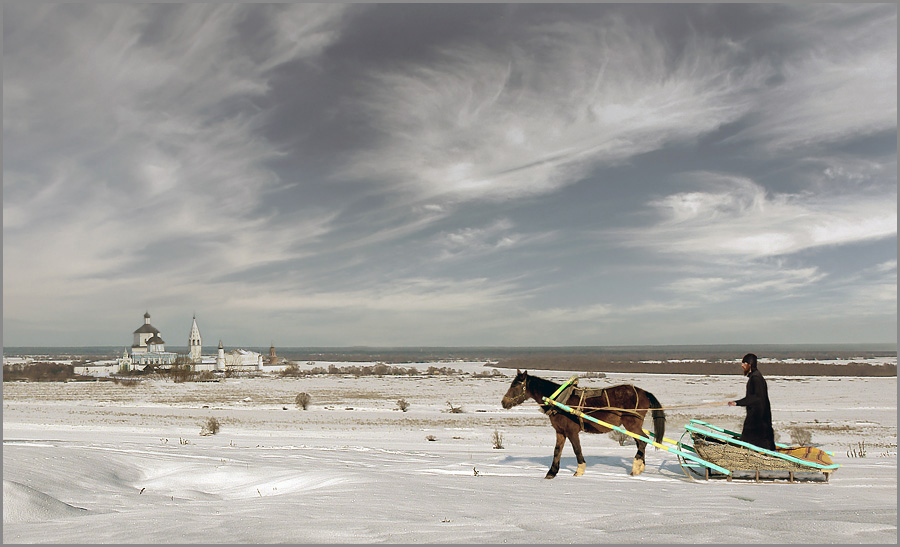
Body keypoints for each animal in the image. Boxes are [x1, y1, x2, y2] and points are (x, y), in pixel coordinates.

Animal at [502, 368, 664, 480]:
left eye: (515, 386)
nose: (504, 402)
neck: (560, 400)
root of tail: (643, 392)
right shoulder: (560, 432)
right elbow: (557, 451)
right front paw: (551, 473)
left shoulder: (571, 431)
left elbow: (577, 449)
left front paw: (579, 471)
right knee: (641, 442)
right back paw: (640, 467)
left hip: (632, 424)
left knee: (643, 441)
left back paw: (636, 468)